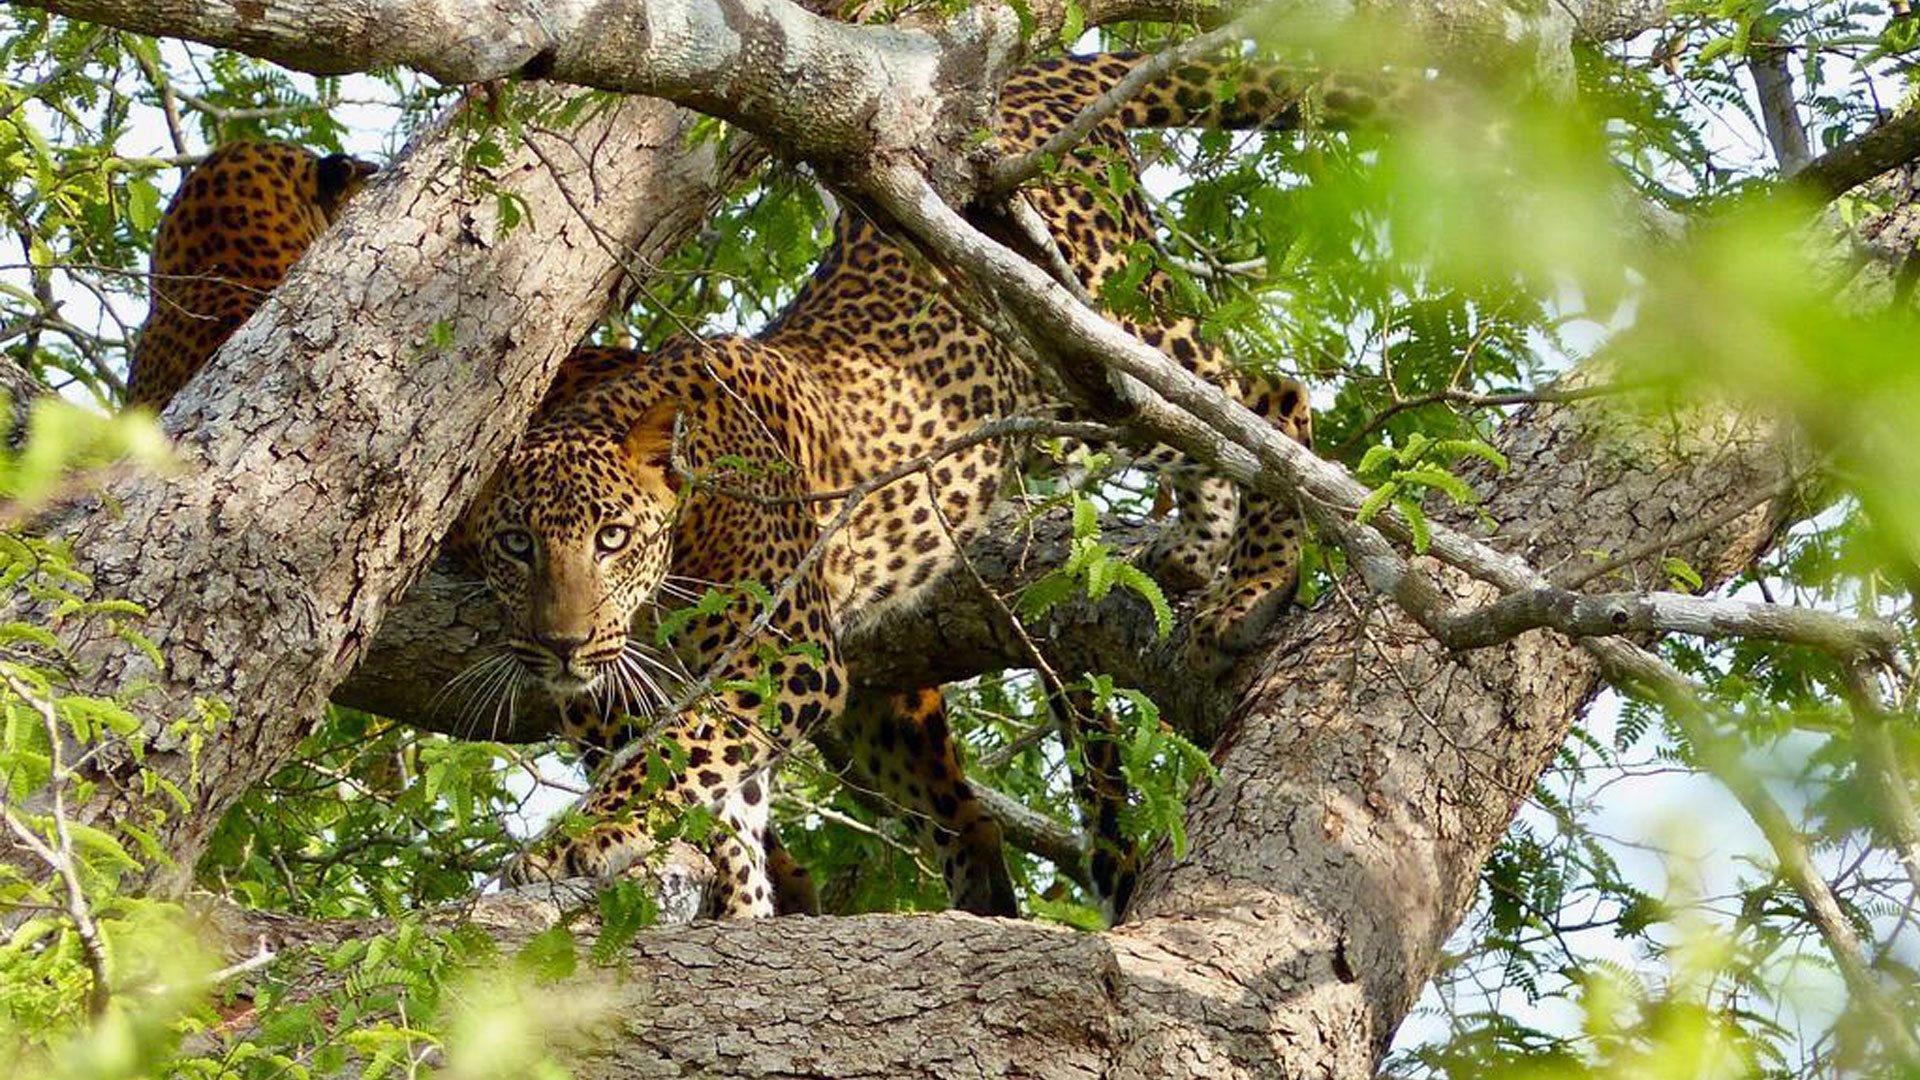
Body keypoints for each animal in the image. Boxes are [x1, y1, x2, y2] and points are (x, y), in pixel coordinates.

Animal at [464, 51, 1343, 921]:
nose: (561, 644)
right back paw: (1194, 549)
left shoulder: (783, 655)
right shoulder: (621, 693)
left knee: (1261, 400)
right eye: (515, 544)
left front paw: (574, 844)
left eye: (613, 537)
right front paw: (740, 900)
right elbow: (717, 789)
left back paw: (1252, 585)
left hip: (1105, 335)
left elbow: (679, 755)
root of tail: (1043, 72)